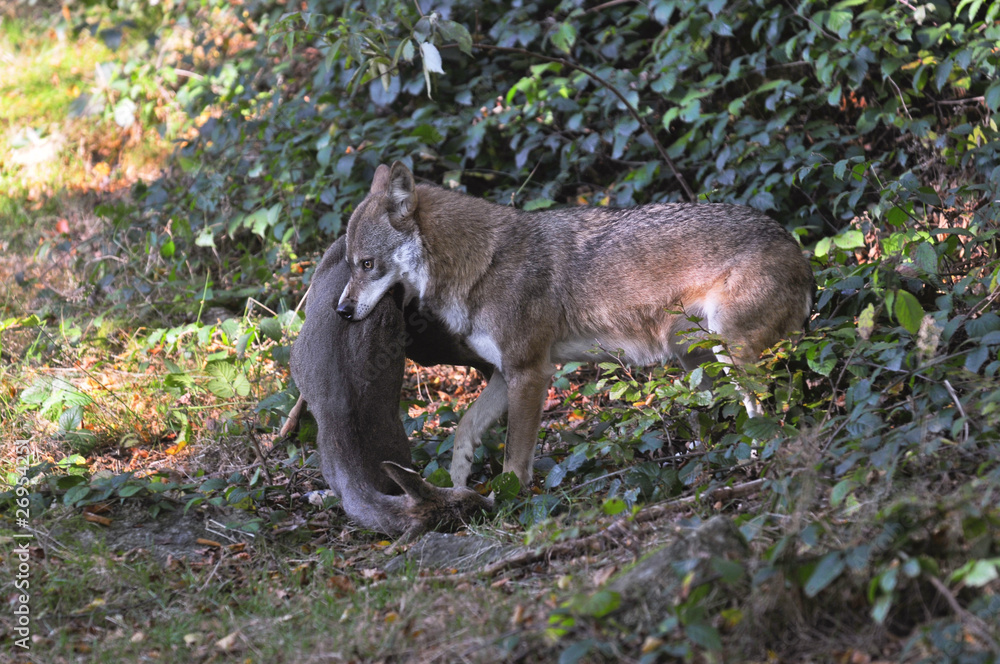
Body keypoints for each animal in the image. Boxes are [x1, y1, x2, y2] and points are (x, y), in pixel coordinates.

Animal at [336, 162, 815, 489]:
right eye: (351, 265)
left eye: (367, 265)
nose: (341, 311)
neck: (480, 264)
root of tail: (796, 247)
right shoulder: (504, 374)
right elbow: (463, 431)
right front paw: (457, 487)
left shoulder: (531, 374)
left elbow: (514, 461)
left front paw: (509, 505)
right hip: (698, 362)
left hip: (732, 355)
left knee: (766, 414)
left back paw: (754, 462)